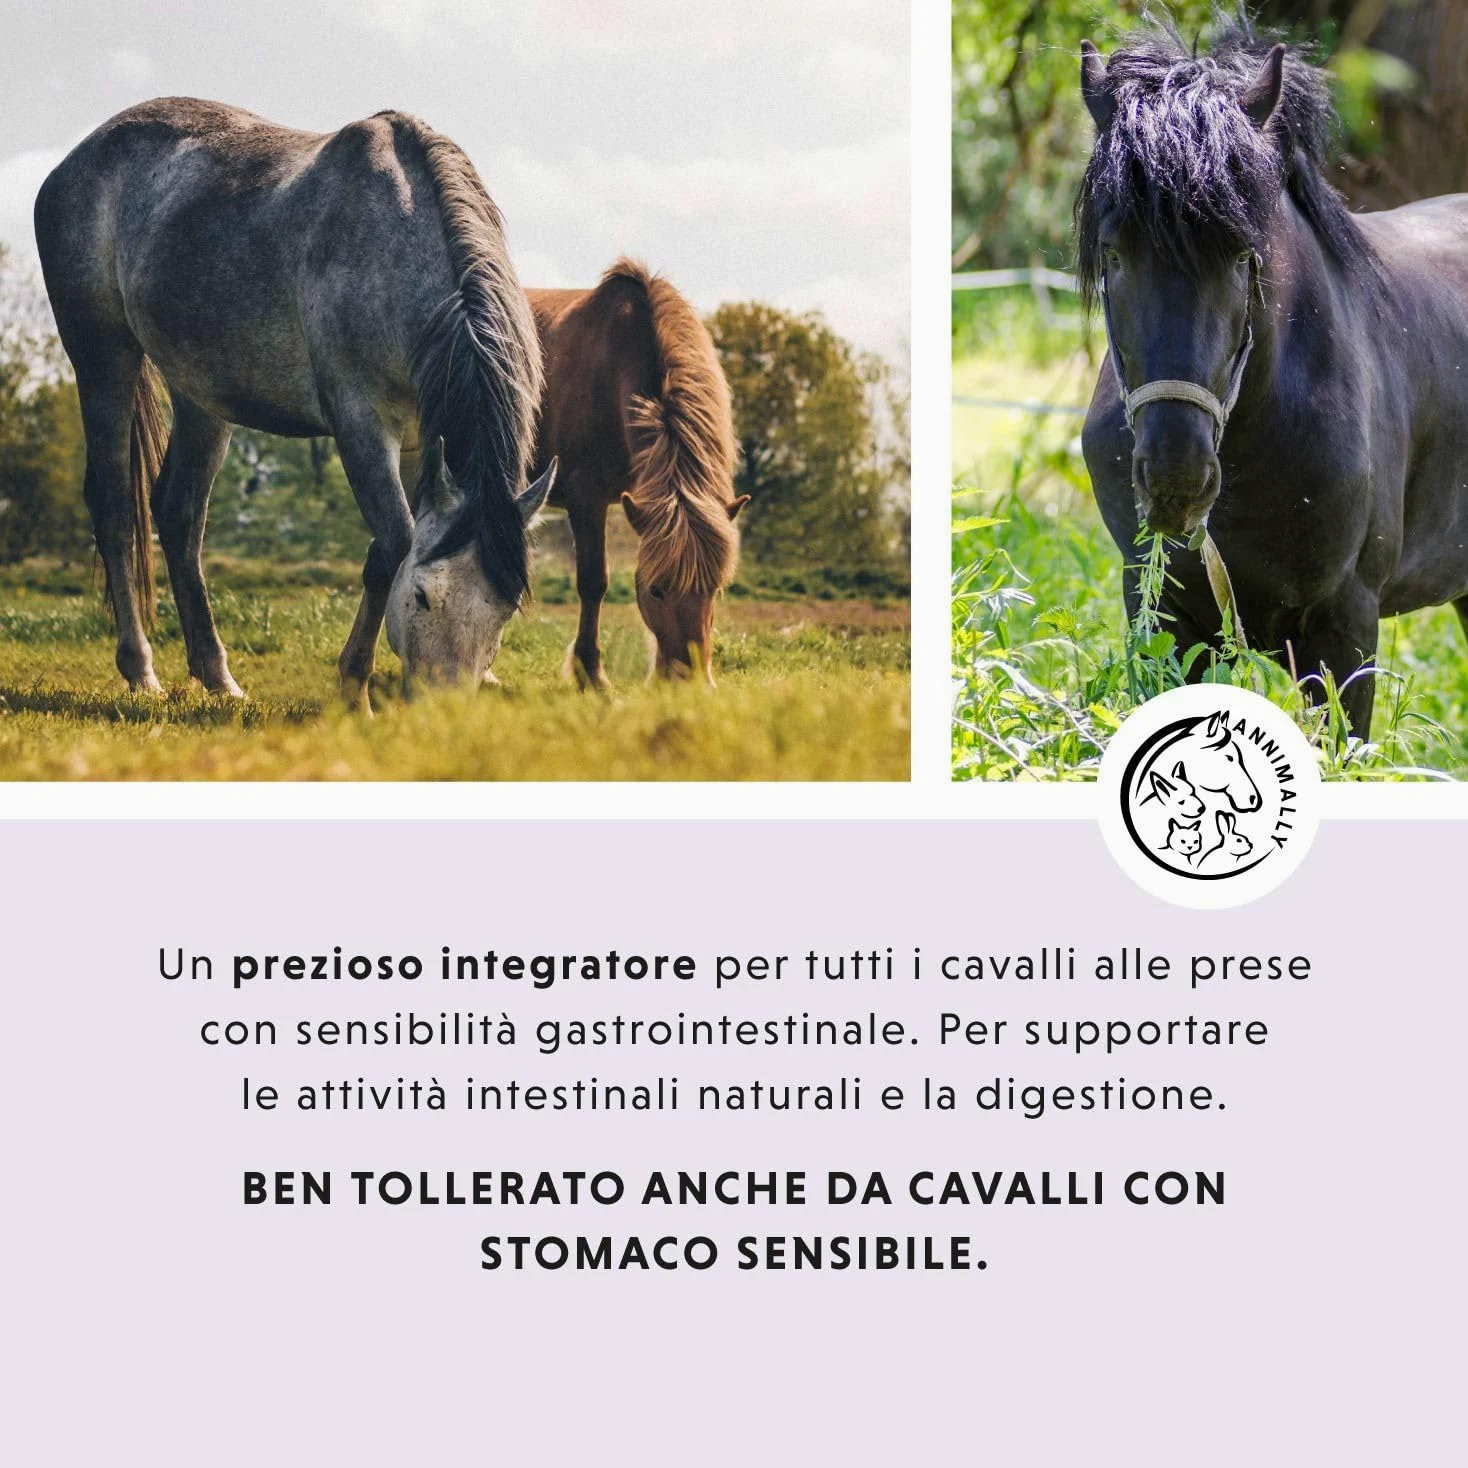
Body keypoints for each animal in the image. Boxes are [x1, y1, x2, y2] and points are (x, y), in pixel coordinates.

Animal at [34, 97, 554, 706]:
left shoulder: (418, 441)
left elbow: (385, 549)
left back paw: (217, 676)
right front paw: (354, 688)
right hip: (103, 358)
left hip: (200, 393)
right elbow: (395, 545)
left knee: (179, 513)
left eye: (505, 610)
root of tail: (77, 159)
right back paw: (141, 671)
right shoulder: (360, 424)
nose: (441, 709)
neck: (396, 244)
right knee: (117, 506)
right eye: (424, 596)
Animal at [528, 260, 748, 686]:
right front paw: (591, 674)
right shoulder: (586, 498)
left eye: (714, 589)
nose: (689, 681)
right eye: (656, 590)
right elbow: (593, 583)